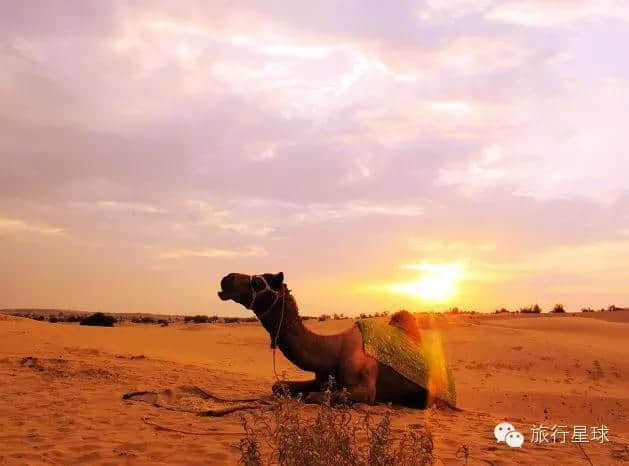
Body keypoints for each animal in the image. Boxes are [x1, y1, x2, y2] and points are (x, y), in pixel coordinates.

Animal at [217, 272, 432, 406]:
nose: (226, 278)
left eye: (259, 282)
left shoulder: (365, 390)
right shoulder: (320, 378)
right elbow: (278, 386)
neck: (332, 351)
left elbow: (312, 396)